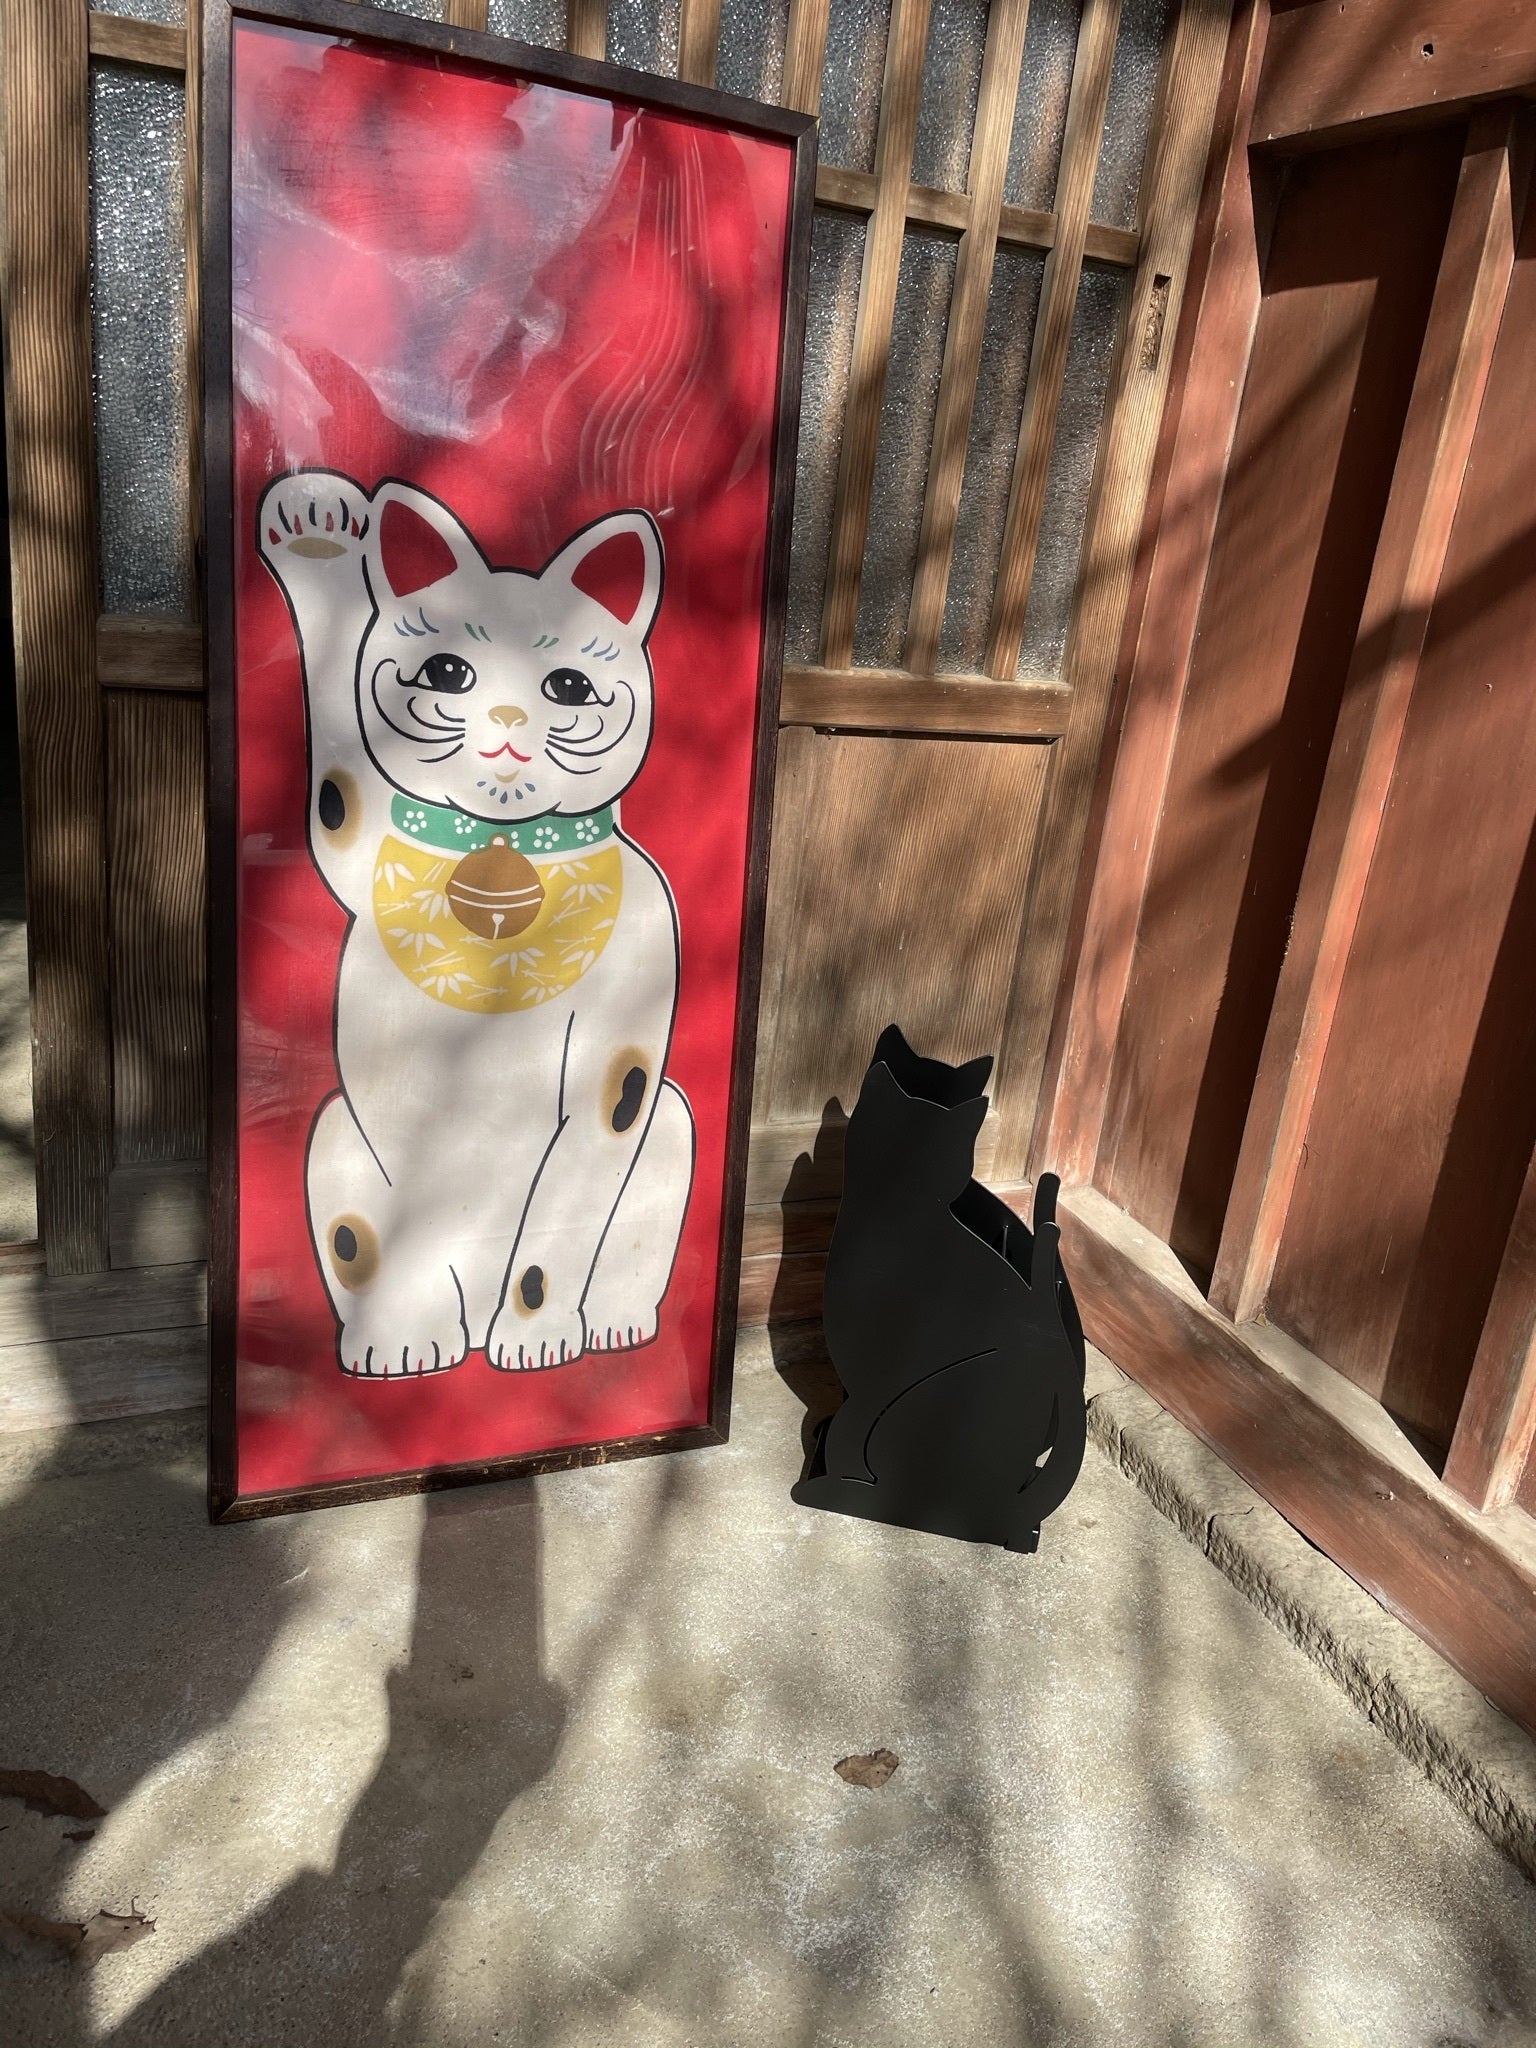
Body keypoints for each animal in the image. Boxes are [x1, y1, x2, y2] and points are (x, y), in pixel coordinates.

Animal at [257, 470, 694, 1378]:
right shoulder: (361, 833)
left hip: (670, 1124)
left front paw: (538, 1340)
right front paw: (317, 534)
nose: (506, 723)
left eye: (568, 687)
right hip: (335, 1138)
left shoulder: (625, 1053)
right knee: (372, 1249)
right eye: (448, 671)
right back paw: (404, 1341)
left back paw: (611, 1324)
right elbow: (337, 767)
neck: (503, 847)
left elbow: (558, 1229)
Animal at [792, 1024, 1086, 1552]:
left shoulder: (877, 1376)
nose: (930, 1177)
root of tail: (1019, 1514)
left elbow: (850, 1431)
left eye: (948, 1152)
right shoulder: (859, 1380)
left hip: (928, 1401)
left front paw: (829, 1479)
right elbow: (843, 1425)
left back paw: (845, 1490)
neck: (898, 1215)